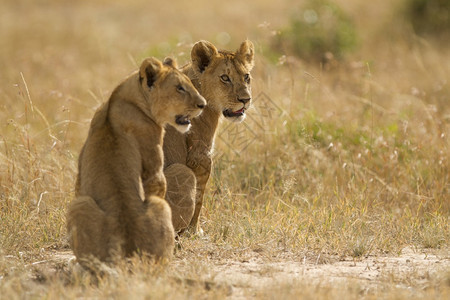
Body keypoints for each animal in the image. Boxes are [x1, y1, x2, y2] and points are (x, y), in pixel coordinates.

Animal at [66, 56, 207, 264]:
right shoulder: (153, 164)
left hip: (78, 204)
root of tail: (126, 249)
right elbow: (156, 181)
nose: (203, 105)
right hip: (159, 206)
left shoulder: (81, 172)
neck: (123, 97)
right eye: (180, 88)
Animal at [163, 40, 255, 232]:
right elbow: (199, 197)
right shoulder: (200, 156)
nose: (246, 100)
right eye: (225, 78)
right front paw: (195, 231)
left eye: (246, 77)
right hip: (181, 171)